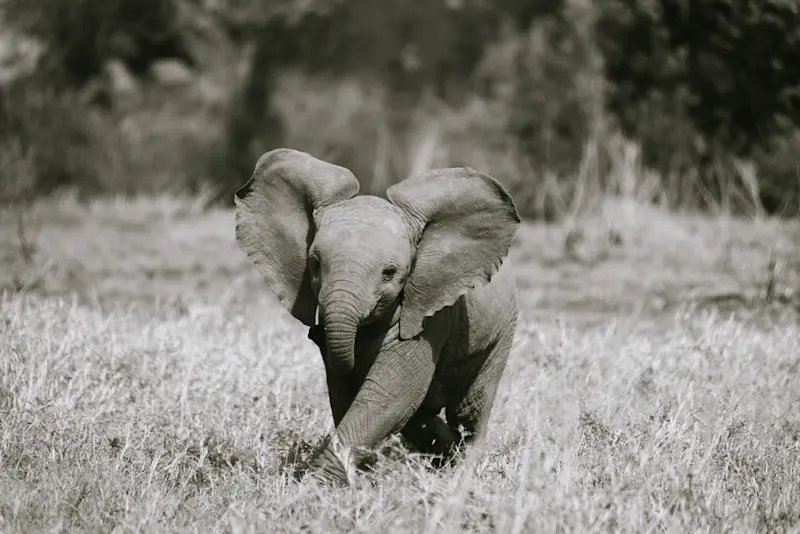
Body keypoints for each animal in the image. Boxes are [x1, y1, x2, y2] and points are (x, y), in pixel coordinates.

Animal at [234, 148, 521, 485]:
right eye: (314, 264)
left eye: (390, 273)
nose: (316, 333)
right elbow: (351, 395)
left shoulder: (428, 315)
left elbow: (390, 395)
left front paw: (314, 487)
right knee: (423, 416)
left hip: (501, 332)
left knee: (469, 410)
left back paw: (458, 477)